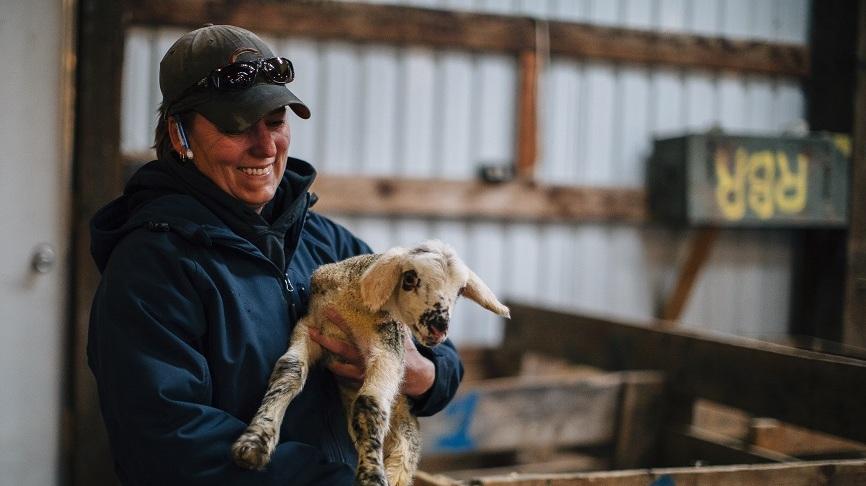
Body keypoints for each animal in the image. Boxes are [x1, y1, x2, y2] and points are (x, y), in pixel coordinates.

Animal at [233, 241, 510, 484]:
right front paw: (254, 443)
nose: (439, 327)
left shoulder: (388, 346)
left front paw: (372, 475)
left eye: (460, 291)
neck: (353, 306)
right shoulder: (310, 327)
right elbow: (289, 371)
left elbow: (369, 404)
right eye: (410, 279)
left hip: (405, 442)